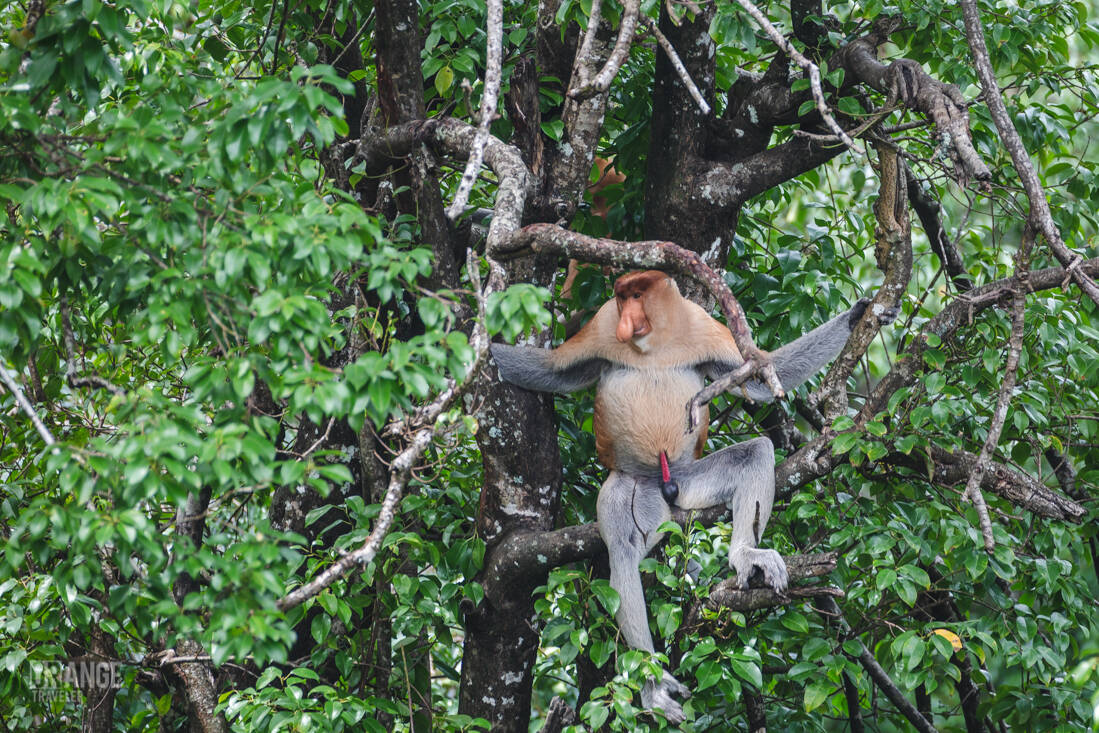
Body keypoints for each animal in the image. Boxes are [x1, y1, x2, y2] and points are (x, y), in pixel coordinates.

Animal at [490, 270, 897, 723]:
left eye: (637, 295)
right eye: (622, 299)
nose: (627, 320)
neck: (654, 343)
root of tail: (664, 485)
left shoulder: (701, 326)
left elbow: (760, 376)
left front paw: (861, 313)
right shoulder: (602, 326)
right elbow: (548, 370)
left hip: (688, 478)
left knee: (757, 453)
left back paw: (746, 556)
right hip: (631, 487)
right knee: (623, 547)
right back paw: (652, 686)